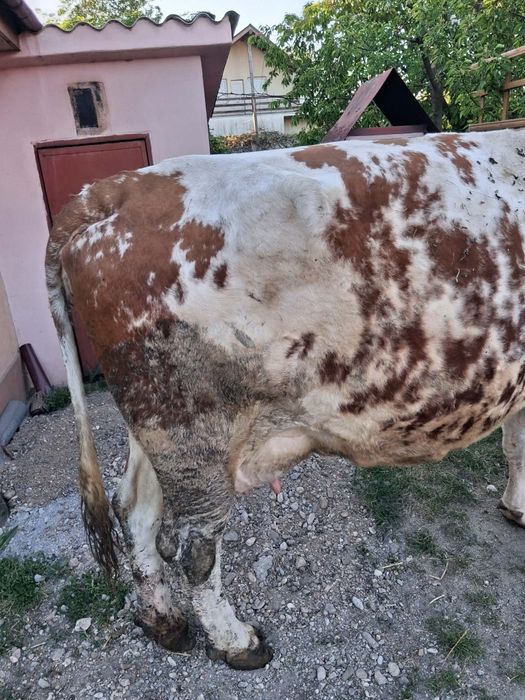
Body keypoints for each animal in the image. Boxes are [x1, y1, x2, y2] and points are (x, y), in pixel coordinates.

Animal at [45, 130, 525, 669]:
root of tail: (112, 191)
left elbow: (514, 444)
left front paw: (515, 507)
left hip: (155, 426)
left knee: (134, 512)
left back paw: (164, 623)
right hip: (192, 433)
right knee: (193, 551)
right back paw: (238, 642)